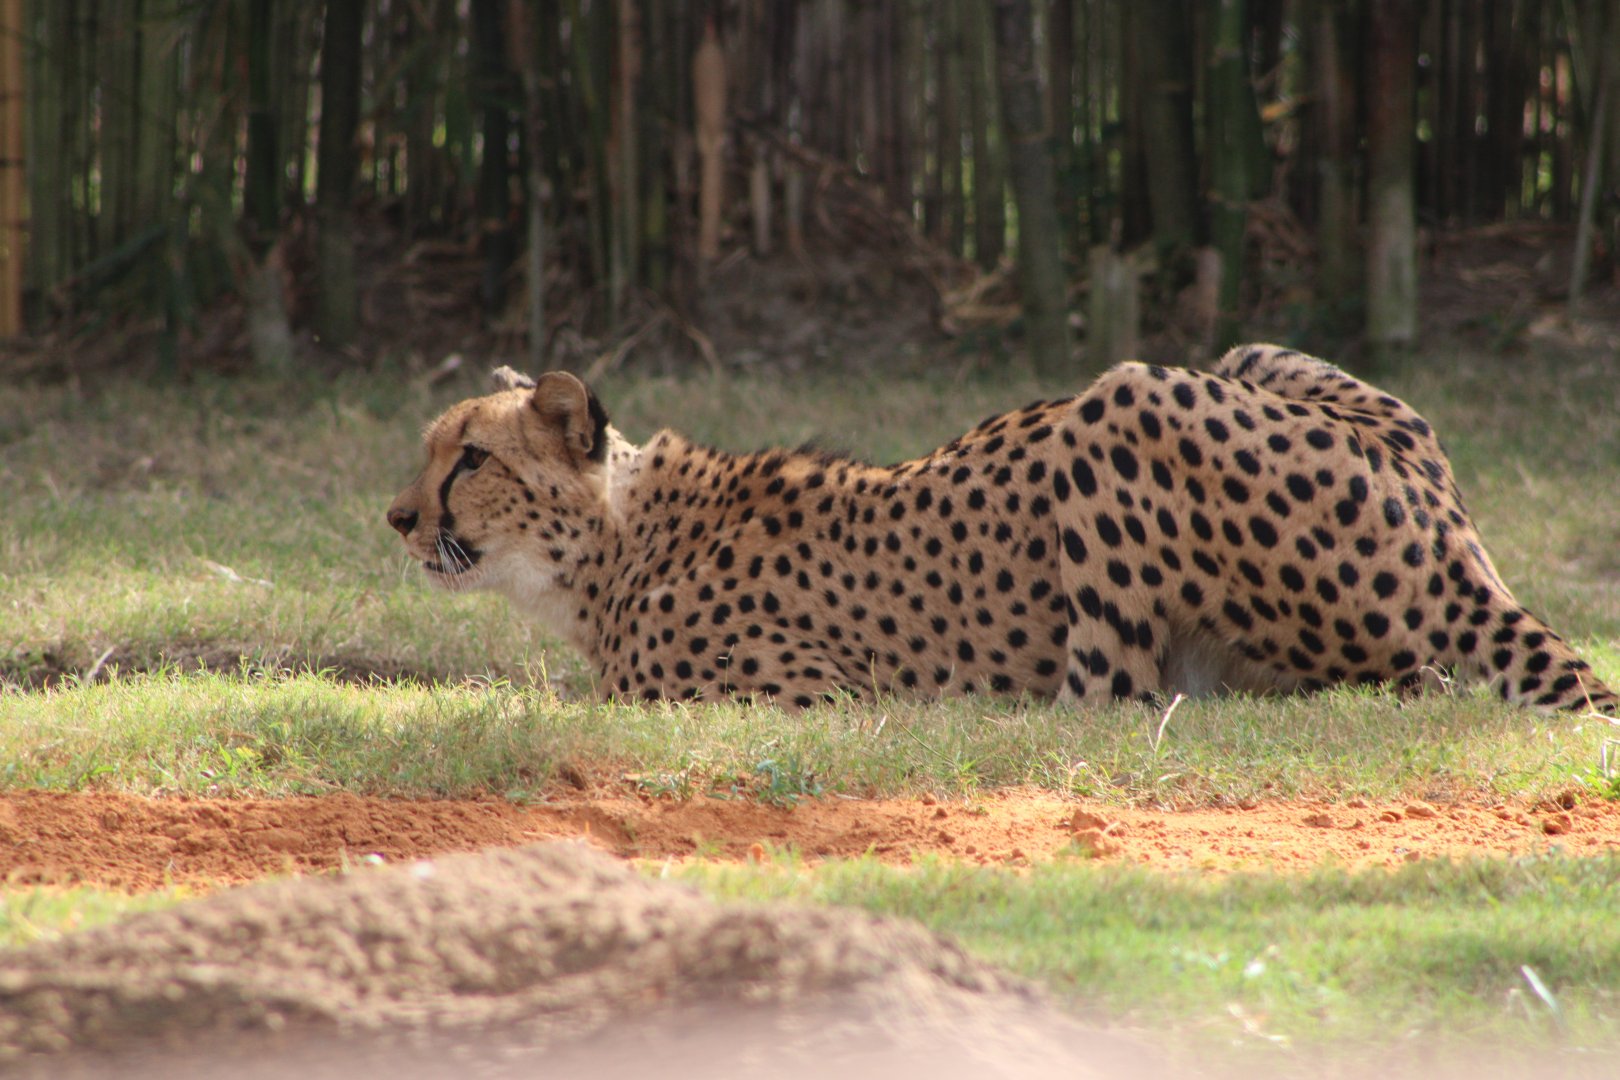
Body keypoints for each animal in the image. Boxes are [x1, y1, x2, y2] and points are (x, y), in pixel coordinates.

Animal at [385, 344, 1616, 714]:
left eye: (471, 458)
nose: (397, 517)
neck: (617, 544)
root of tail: (1453, 532)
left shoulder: (803, 694)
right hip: (1254, 355)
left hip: (1125, 398)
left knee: (1114, 698)